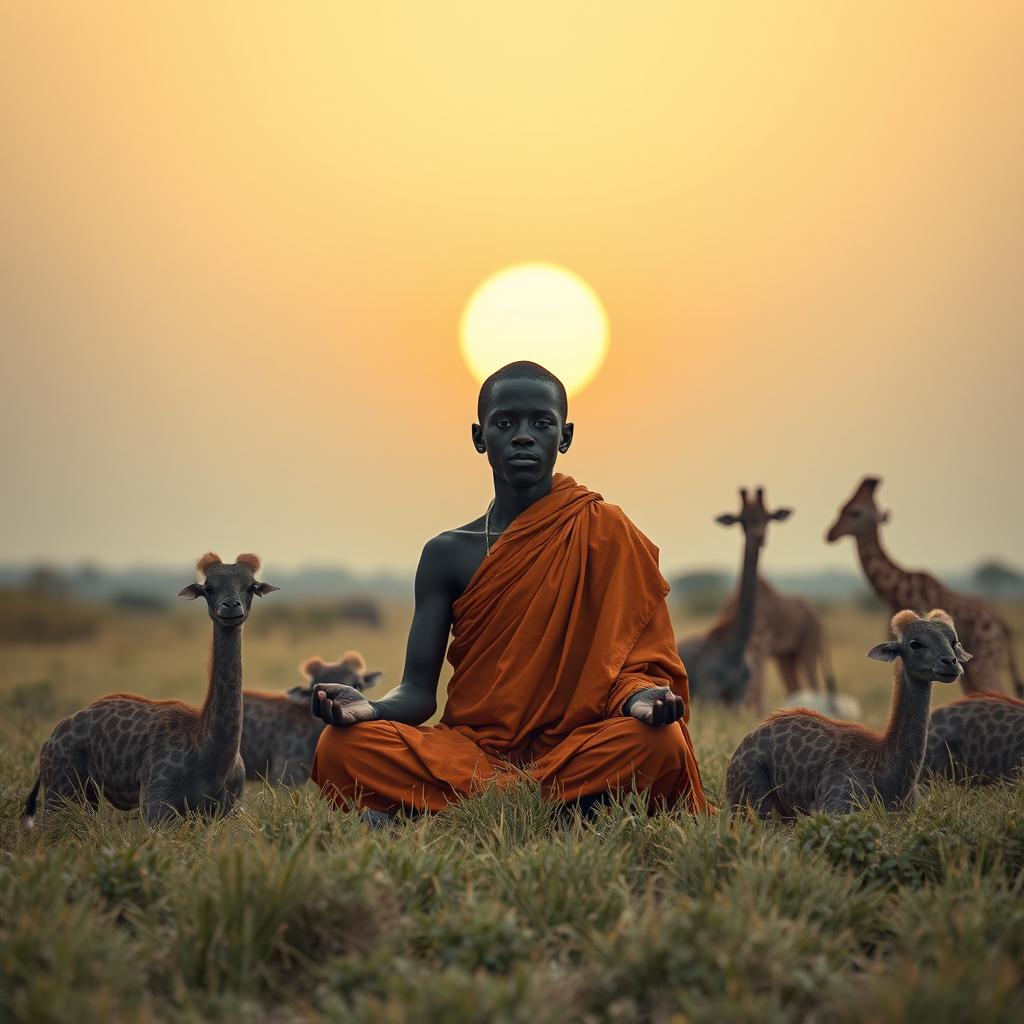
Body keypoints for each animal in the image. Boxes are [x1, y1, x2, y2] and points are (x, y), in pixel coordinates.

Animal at [23, 552, 280, 823]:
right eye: (208, 588)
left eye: (251, 587)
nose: (231, 607)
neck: (210, 756)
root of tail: (49, 740)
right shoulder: (156, 806)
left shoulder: (222, 811)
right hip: (60, 790)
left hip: (87, 796)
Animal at [675, 487, 794, 704]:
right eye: (742, 520)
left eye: (767, 517)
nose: (759, 537)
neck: (736, 648)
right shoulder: (710, 692)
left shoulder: (738, 696)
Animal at [724, 606, 970, 815]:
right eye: (915, 643)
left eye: (953, 641)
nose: (950, 663)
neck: (891, 780)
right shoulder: (834, 807)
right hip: (753, 803)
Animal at [827, 475, 1019, 700]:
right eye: (842, 507)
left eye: (855, 511)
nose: (830, 534)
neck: (896, 591)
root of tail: (1003, 626)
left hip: (983, 661)